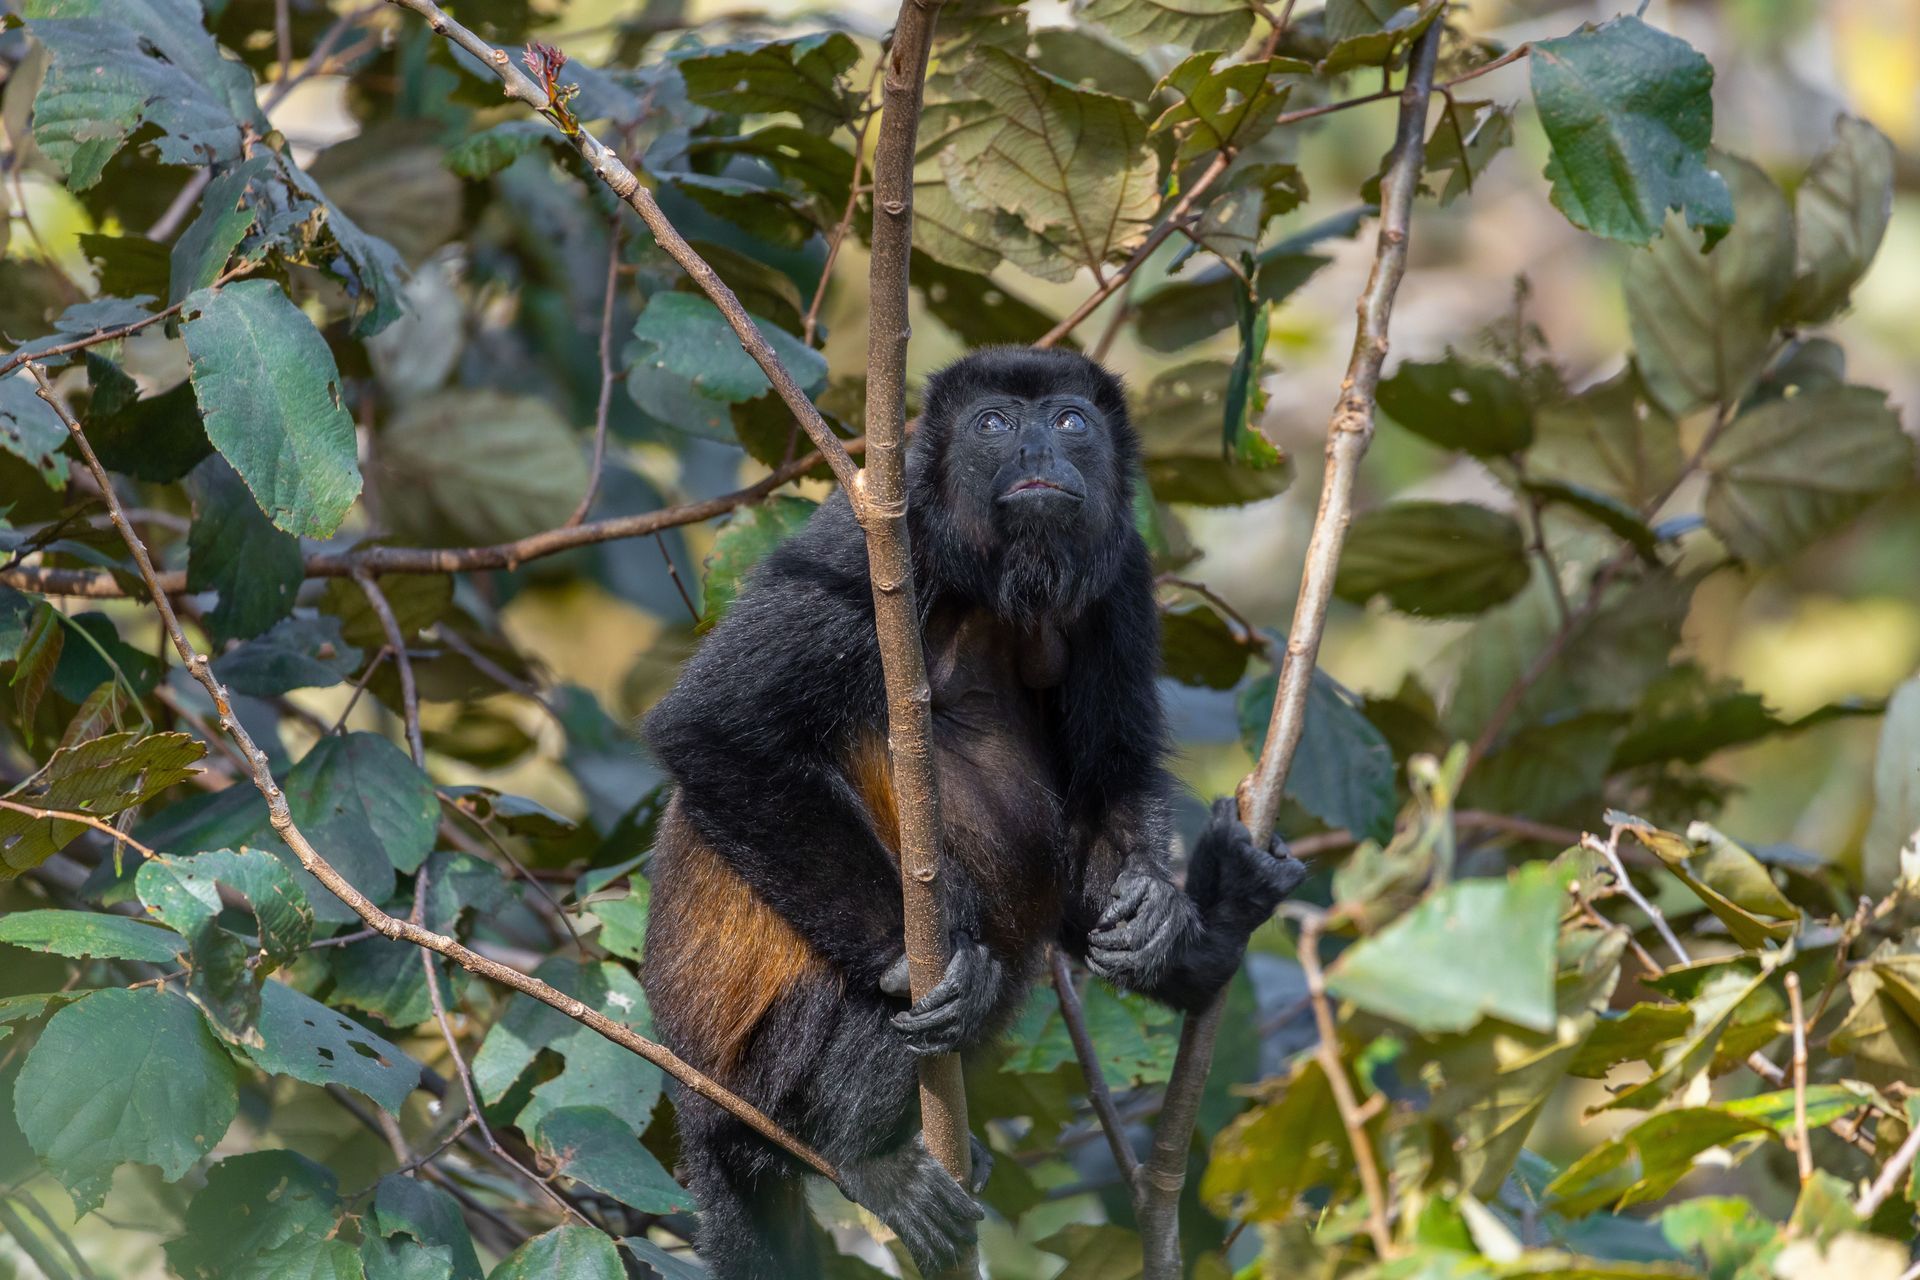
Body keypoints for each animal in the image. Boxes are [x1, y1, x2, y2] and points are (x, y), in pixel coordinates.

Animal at [640, 347, 1306, 1279]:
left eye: (1069, 420)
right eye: (994, 423)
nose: (1038, 450)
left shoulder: (1124, 573)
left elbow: (1108, 773)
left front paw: (1157, 914)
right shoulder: (863, 549)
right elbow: (716, 728)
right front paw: (908, 956)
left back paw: (1215, 923)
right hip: (753, 1087)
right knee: (910, 985)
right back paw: (870, 1153)